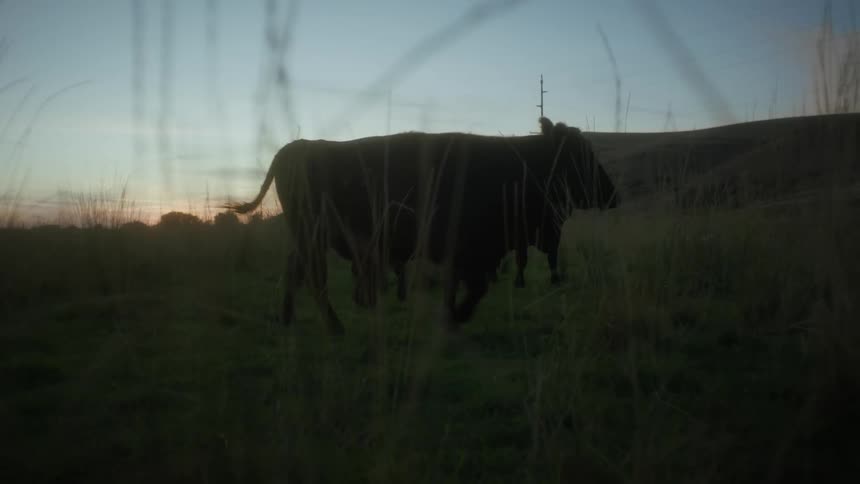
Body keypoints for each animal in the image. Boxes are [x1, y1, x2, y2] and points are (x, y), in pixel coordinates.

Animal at [224, 117, 617, 334]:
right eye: (581, 154)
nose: (612, 193)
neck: (516, 164)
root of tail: (293, 148)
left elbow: (463, 287)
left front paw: (450, 317)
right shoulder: (469, 251)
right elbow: (473, 288)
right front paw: (455, 317)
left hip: (307, 238)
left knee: (295, 272)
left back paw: (290, 319)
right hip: (313, 236)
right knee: (312, 277)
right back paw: (334, 328)